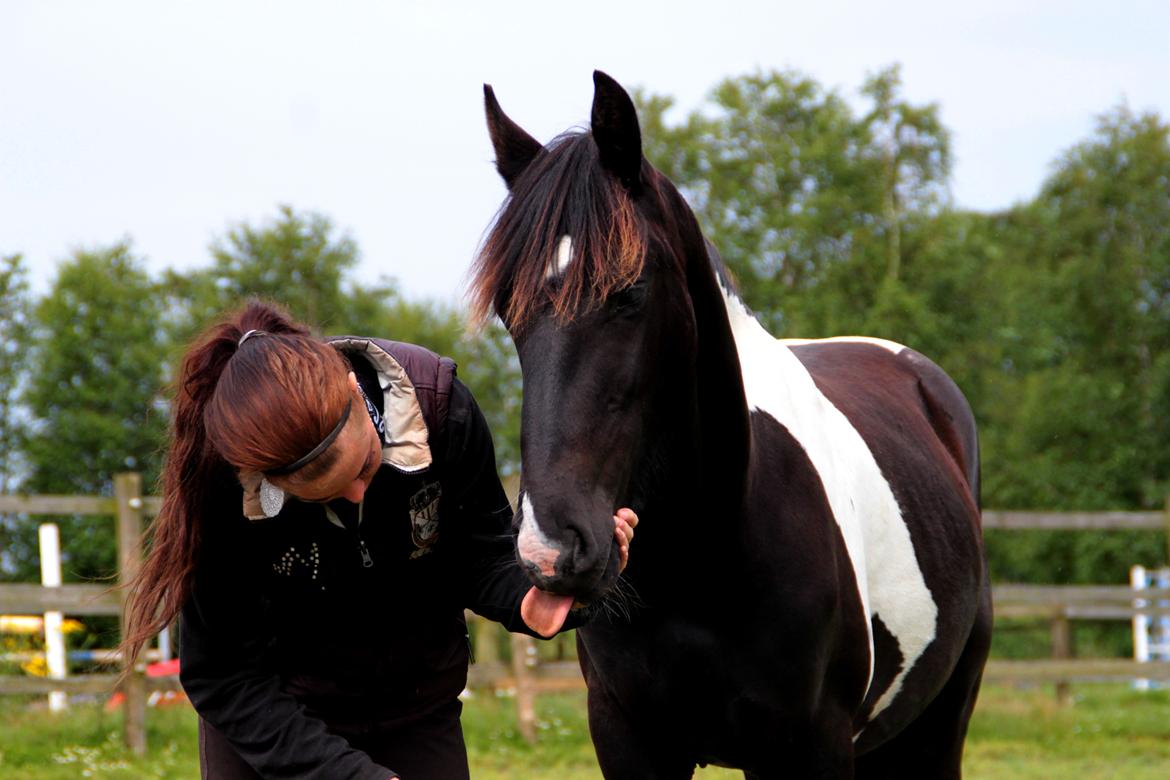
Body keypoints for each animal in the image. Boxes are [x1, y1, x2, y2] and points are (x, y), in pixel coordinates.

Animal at [470, 70, 992, 776]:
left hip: (938, 727)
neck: (703, 553)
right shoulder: (630, 739)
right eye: (508, 309)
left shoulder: (813, 746)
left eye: (629, 293)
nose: (549, 550)